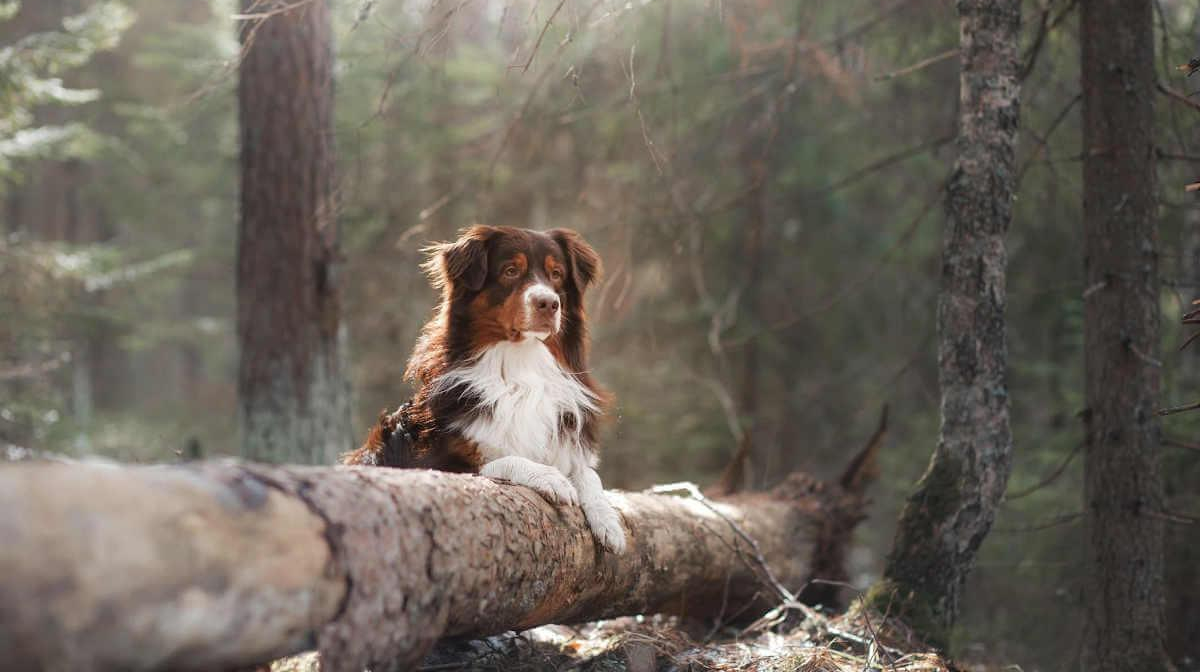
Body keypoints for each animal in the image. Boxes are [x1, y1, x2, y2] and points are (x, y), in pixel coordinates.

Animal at [343, 225, 628, 552]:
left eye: (556, 274)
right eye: (510, 271)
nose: (548, 303)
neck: (521, 366)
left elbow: (589, 474)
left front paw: (608, 522)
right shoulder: (433, 462)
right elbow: (499, 461)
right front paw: (549, 477)